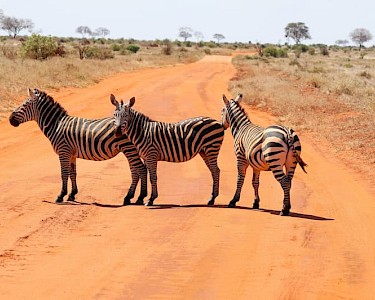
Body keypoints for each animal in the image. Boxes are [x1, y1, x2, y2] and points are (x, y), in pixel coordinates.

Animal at [8, 88, 147, 205]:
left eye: (24, 105)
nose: (10, 119)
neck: (56, 125)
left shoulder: (63, 151)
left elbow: (64, 173)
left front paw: (60, 196)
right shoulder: (71, 153)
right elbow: (72, 173)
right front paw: (72, 194)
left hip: (128, 148)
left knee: (140, 169)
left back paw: (138, 197)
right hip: (129, 149)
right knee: (135, 170)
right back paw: (130, 197)